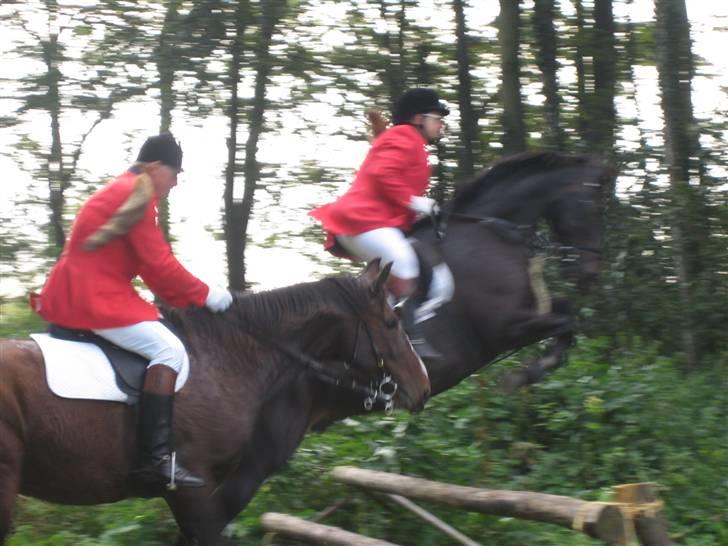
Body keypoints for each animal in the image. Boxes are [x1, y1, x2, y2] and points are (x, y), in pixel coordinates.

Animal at [412, 151, 612, 394]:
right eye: (597, 207)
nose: (591, 275)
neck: (491, 231)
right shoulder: (506, 329)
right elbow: (566, 322)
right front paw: (524, 375)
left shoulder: (530, 308)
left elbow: (567, 311)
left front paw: (532, 372)